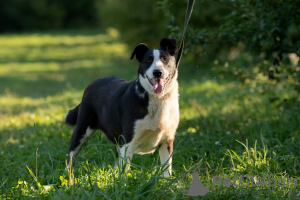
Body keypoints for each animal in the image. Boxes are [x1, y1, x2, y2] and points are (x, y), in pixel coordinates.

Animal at [65, 37, 179, 177]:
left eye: (165, 59)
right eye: (148, 60)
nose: (157, 72)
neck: (157, 99)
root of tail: (92, 84)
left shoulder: (166, 141)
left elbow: (167, 169)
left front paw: (168, 182)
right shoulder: (128, 142)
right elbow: (124, 171)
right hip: (82, 129)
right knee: (71, 154)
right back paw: (68, 176)